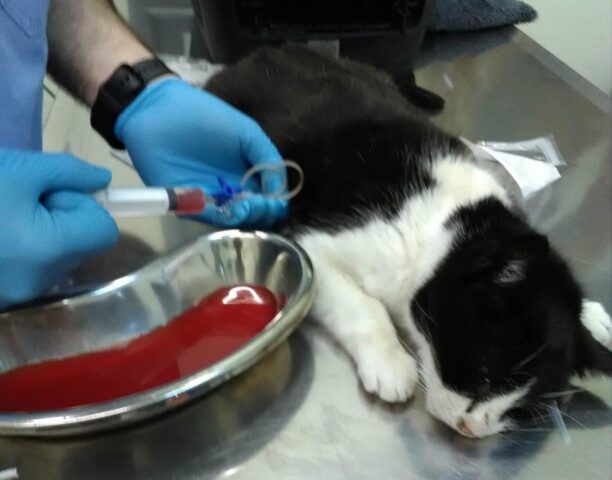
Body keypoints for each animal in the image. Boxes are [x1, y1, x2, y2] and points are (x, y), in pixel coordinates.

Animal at [205, 44, 612, 438]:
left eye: (522, 411)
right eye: (483, 372)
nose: (471, 429)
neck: (450, 224)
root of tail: (269, 51)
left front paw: (592, 315)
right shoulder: (312, 243)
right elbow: (362, 305)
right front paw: (390, 363)